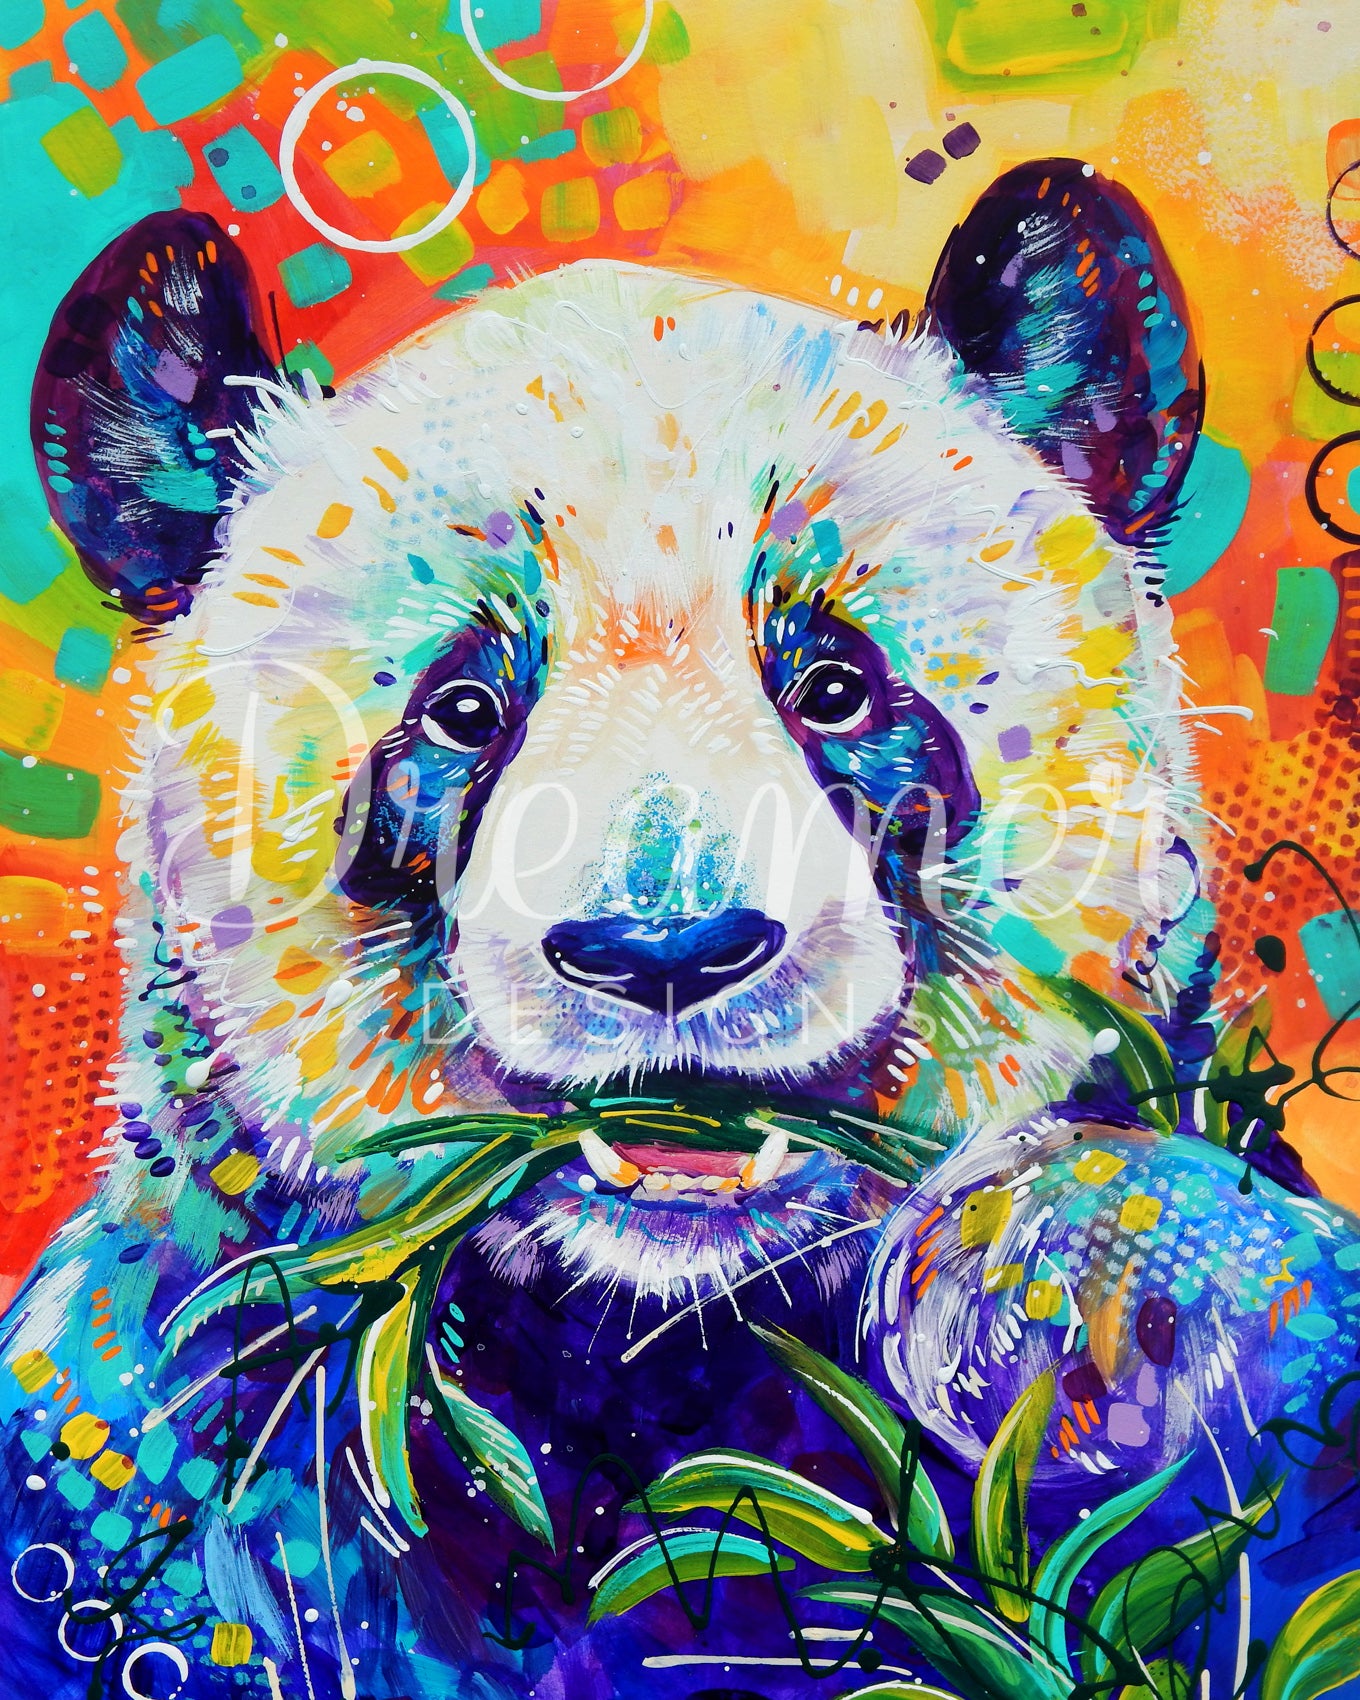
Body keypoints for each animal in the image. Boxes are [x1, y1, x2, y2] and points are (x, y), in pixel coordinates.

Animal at [1, 158, 1356, 1700]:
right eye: (463, 709)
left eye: (834, 686)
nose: (667, 953)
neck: (660, 1350)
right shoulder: (206, 1432)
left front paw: (1065, 1260)